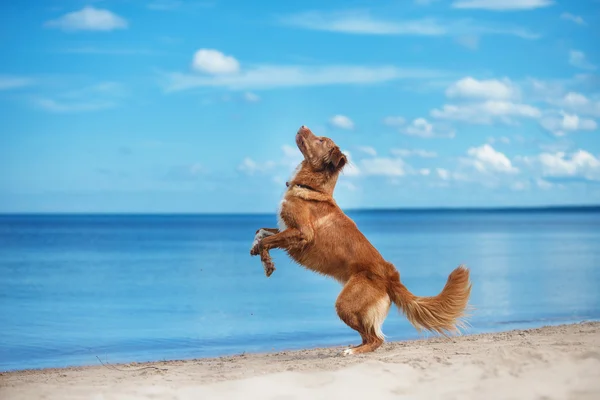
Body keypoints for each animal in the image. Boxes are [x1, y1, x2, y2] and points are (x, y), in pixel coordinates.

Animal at [250, 126, 474, 354]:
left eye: (320, 140)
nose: (303, 126)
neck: (312, 187)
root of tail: (391, 277)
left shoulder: (303, 233)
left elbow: (268, 241)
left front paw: (267, 263)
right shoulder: (285, 229)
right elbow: (261, 232)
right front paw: (255, 249)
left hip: (345, 304)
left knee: (376, 339)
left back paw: (352, 351)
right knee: (371, 337)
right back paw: (355, 347)